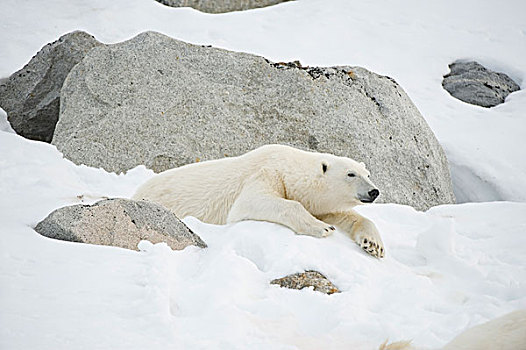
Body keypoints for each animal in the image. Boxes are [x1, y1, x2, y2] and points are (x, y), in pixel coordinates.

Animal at [134, 144, 386, 258]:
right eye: (350, 174)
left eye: (368, 174)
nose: (374, 191)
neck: (289, 169)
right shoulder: (266, 173)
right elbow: (251, 203)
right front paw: (322, 227)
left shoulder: (317, 202)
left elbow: (344, 215)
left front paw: (373, 245)